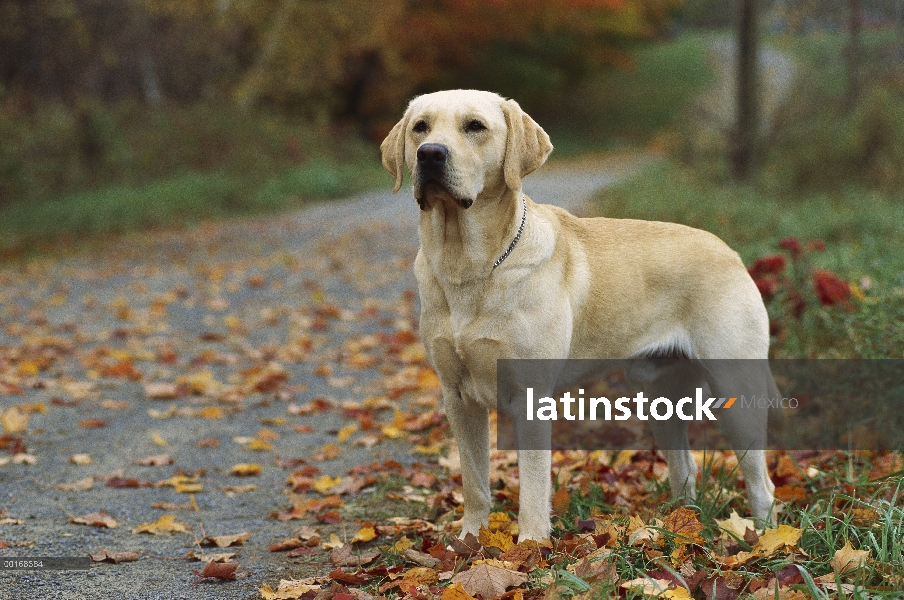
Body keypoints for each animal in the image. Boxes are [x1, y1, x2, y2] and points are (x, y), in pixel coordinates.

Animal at [380, 90, 776, 544]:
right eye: (420, 127)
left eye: (475, 126)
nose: (429, 154)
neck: (467, 266)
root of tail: (731, 251)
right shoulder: (458, 396)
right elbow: (475, 481)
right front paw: (469, 541)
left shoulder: (530, 398)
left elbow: (533, 485)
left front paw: (531, 546)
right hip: (659, 396)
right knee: (686, 468)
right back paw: (676, 527)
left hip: (735, 389)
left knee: (762, 484)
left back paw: (766, 540)